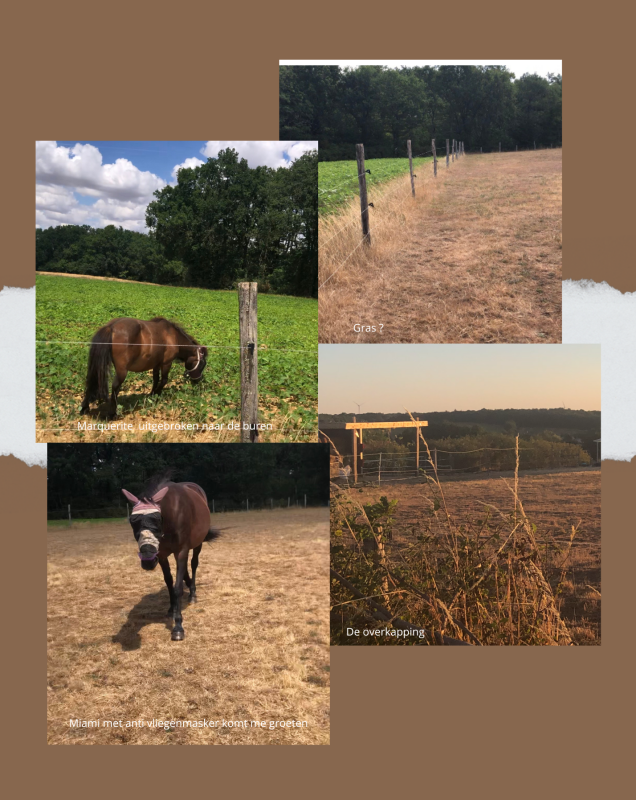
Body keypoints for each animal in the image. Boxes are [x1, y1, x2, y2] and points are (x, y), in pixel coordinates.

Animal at [122, 480, 220, 641]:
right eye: (132, 521)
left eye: (158, 519)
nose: (148, 560)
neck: (171, 517)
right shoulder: (162, 554)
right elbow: (169, 582)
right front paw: (171, 608)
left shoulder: (181, 552)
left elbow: (178, 587)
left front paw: (178, 626)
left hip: (197, 544)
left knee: (193, 564)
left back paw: (192, 593)